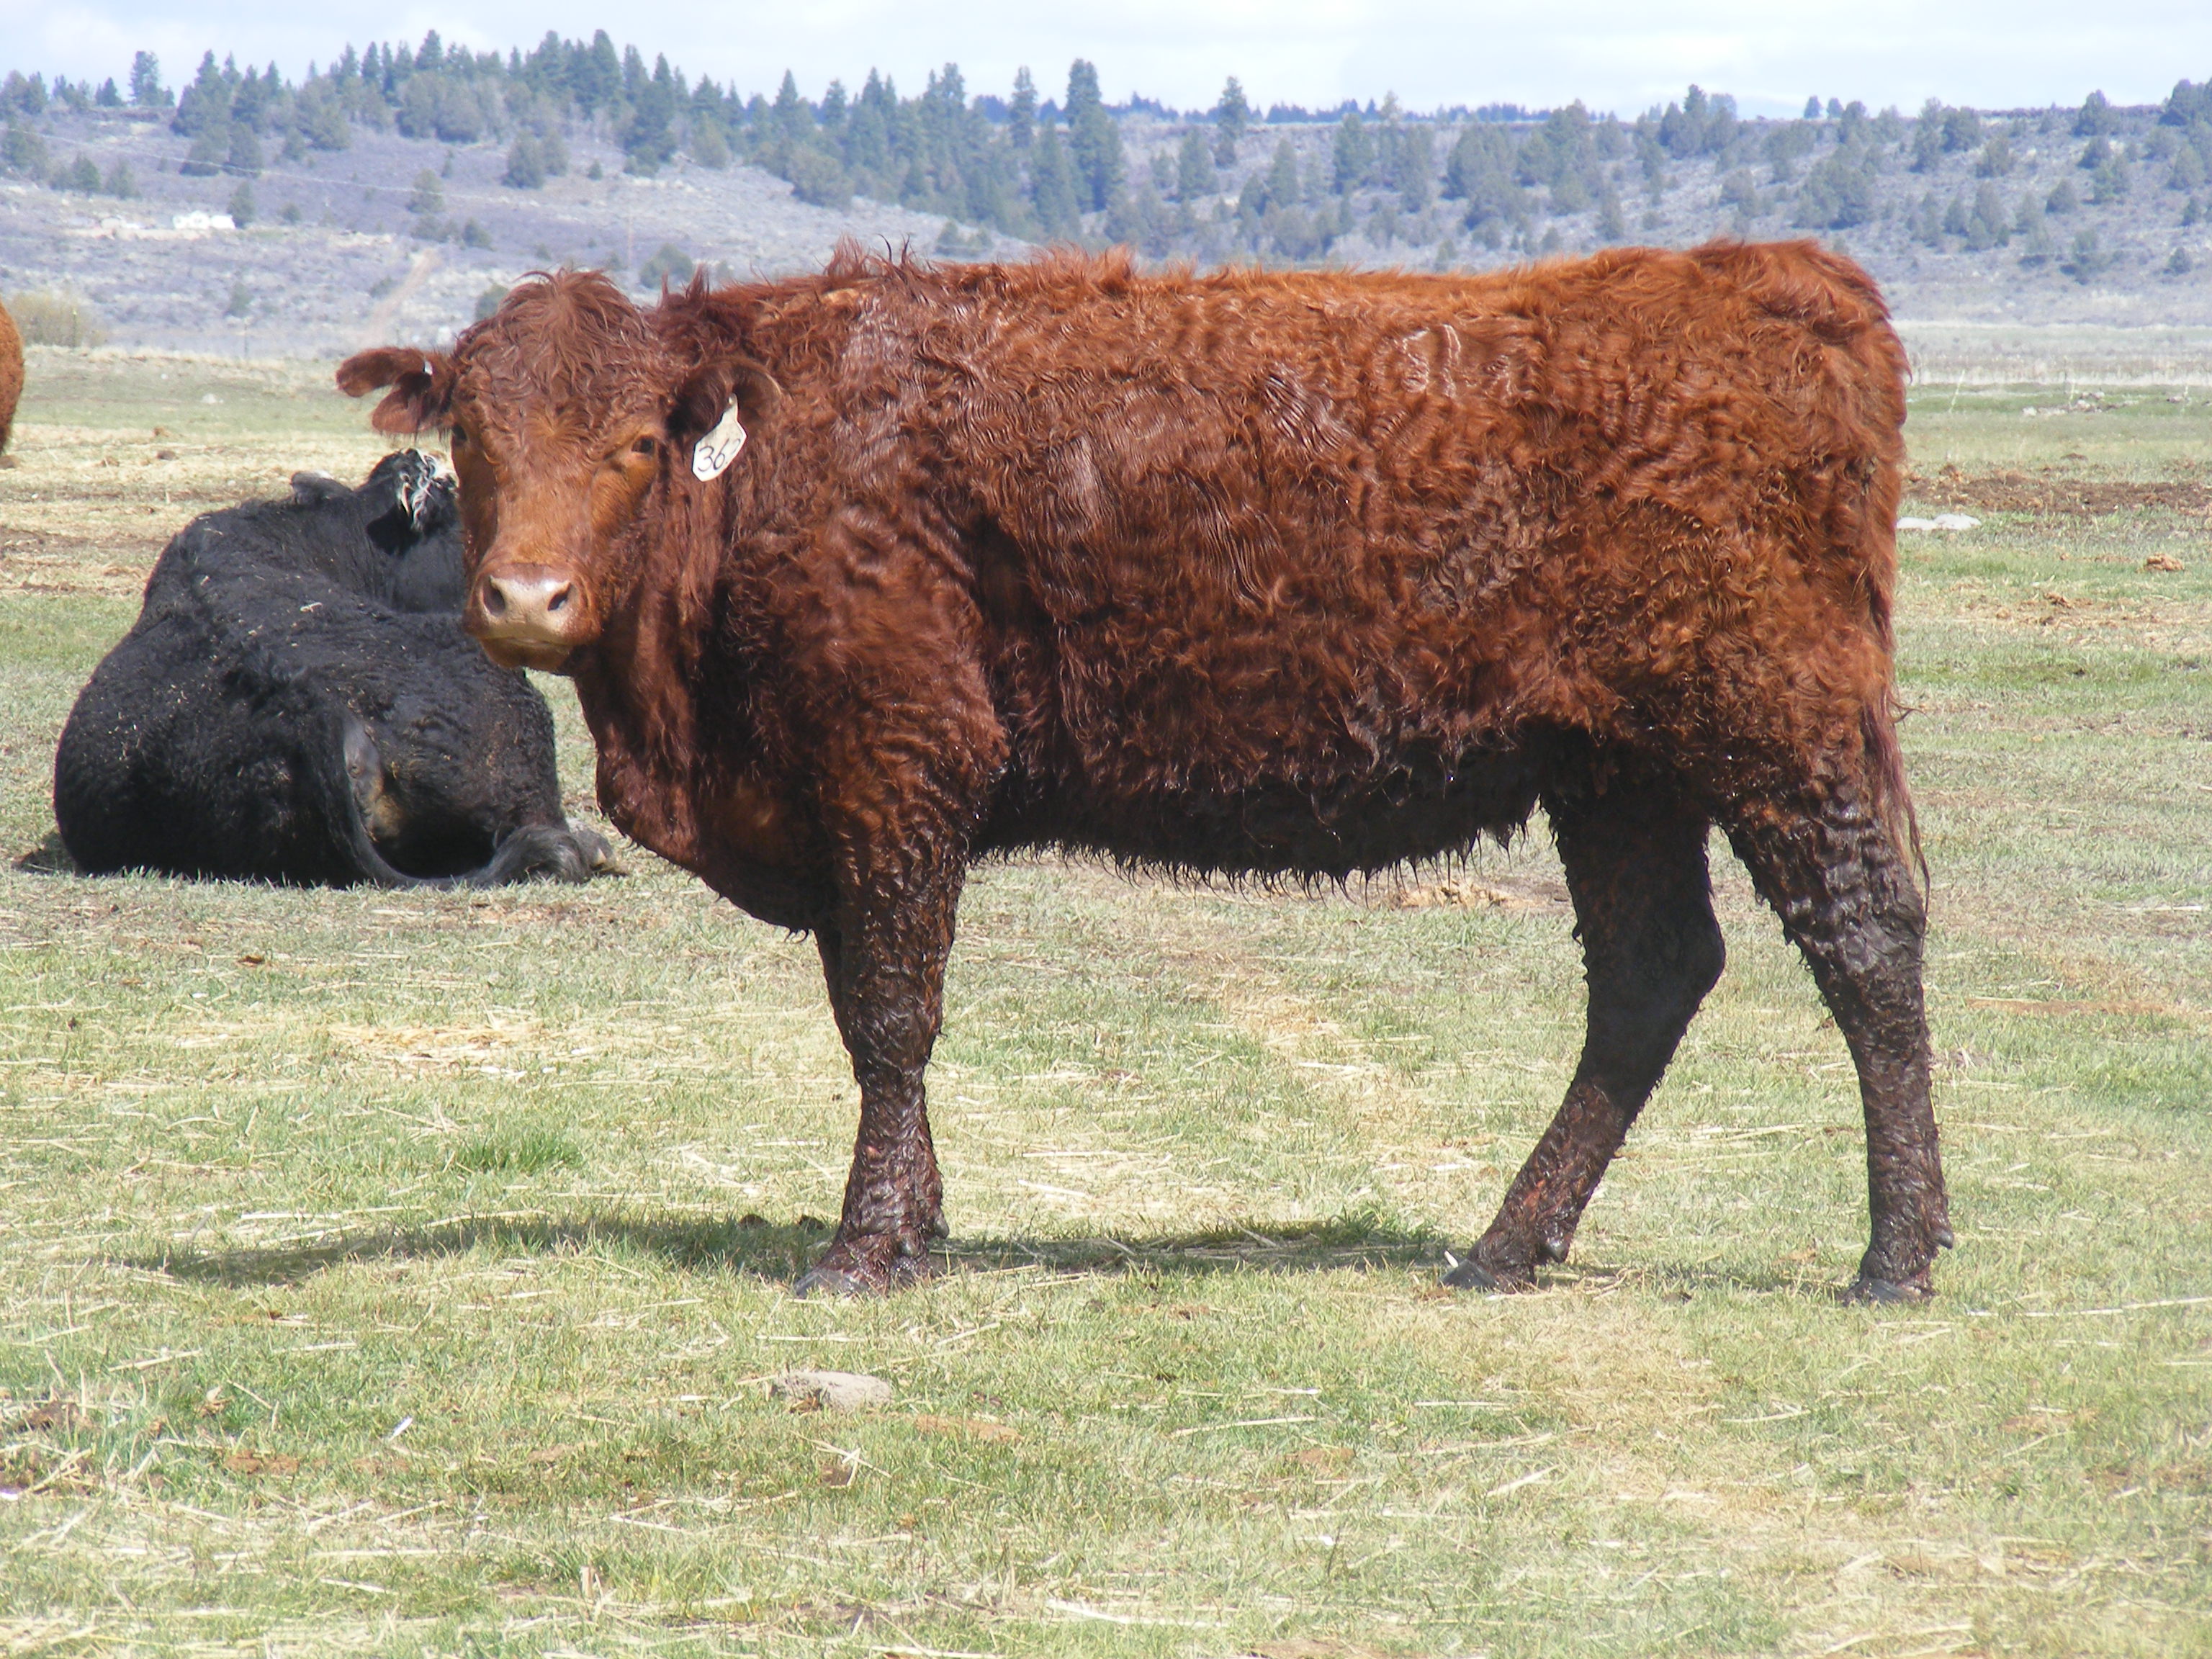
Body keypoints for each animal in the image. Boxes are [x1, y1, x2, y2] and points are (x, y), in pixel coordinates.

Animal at [340, 241, 1950, 1303]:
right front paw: (919, 1223)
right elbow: (874, 1015)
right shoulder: (854, 803)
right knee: (1651, 973)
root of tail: (1774, 277)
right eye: (470, 432)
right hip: (1615, 770)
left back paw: (1896, 1253)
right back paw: (1505, 1245)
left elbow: (891, 1014)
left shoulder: (901, 759)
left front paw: (864, 1248)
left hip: (1777, 724)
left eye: (631, 444)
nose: (525, 598)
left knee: (1866, 942)